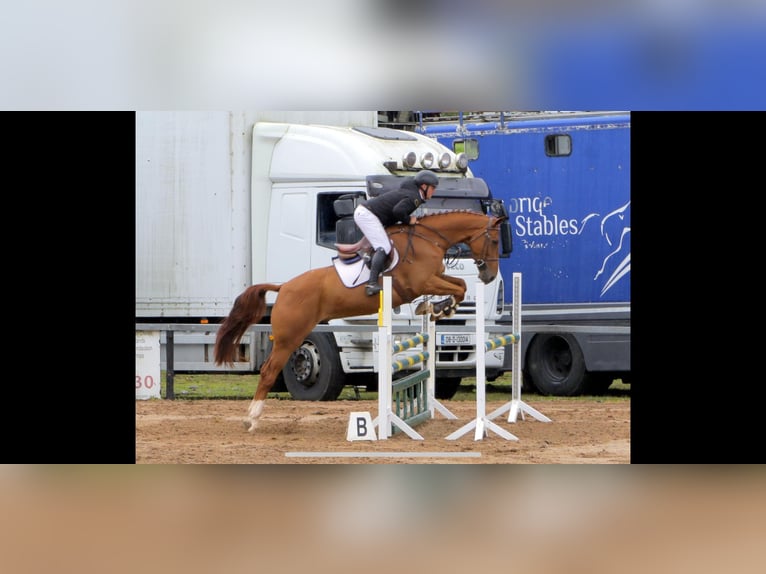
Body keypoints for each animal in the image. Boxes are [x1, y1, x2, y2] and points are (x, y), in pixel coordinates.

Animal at [213, 210, 508, 432]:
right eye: (495, 241)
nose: (489, 276)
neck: (430, 239)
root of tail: (283, 286)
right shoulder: (421, 282)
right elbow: (458, 287)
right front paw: (439, 307)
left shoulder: (434, 279)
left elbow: (459, 285)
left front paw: (436, 308)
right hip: (290, 337)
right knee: (268, 371)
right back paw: (251, 419)